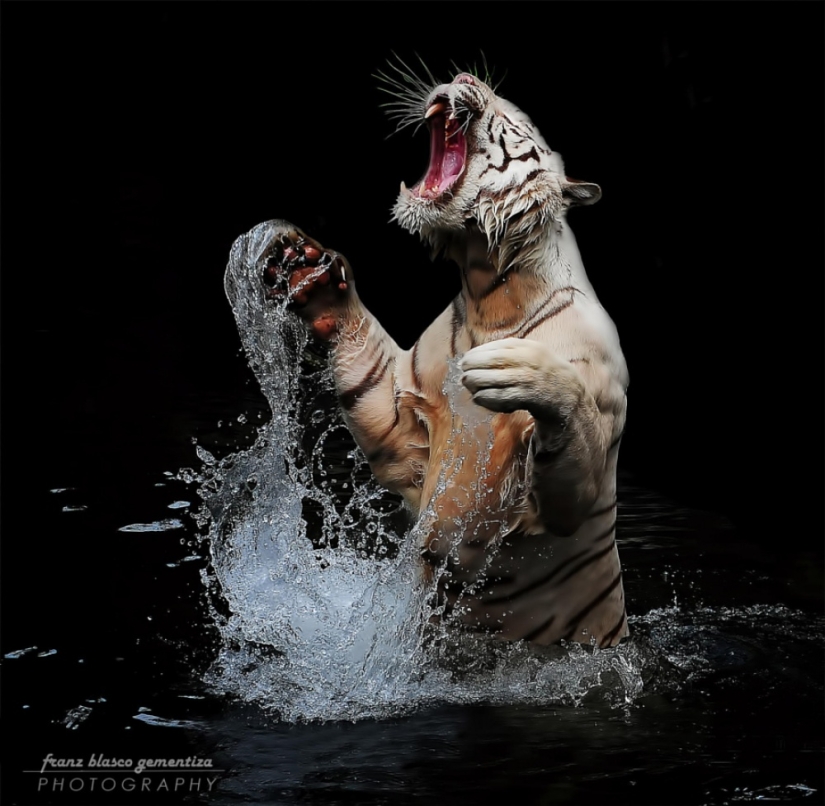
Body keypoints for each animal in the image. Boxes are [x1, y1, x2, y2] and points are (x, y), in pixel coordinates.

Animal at [259, 64, 629, 647]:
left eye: (515, 116)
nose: (464, 75)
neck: (490, 292)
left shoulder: (585, 453)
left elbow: (573, 440)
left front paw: (513, 370)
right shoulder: (401, 422)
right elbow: (369, 383)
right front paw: (312, 277)